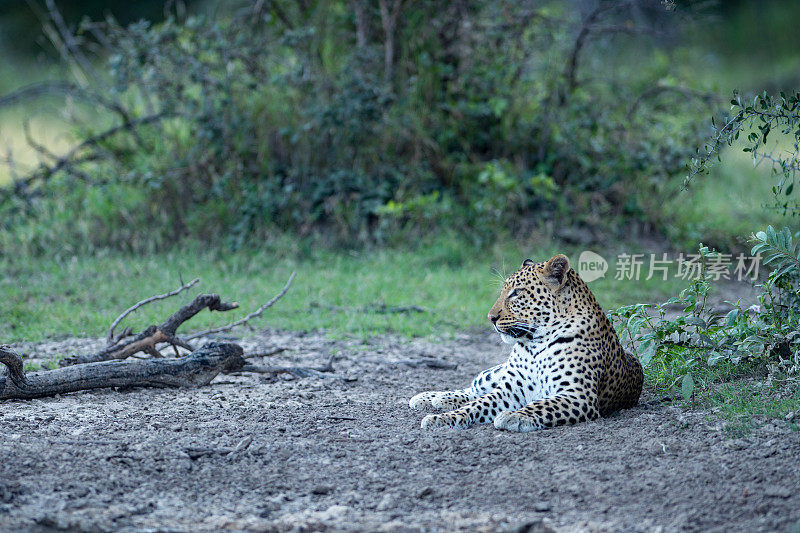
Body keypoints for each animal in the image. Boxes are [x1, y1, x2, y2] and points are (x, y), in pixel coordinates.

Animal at [410, 254, 648, 432]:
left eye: (517, 293)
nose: (490, 317)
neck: (535, 344)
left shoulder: (578, 395)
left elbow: (542, 405)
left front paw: (513, 416)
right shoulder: (511, 388)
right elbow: (478, 403)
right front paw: (442, 418)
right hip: (496, 373)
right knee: (474, 388)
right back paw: (429, 398)